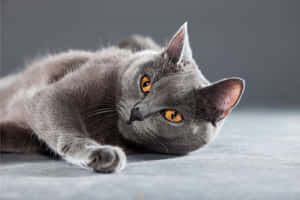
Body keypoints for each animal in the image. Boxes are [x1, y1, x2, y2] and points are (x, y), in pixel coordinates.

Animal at [0, 22, 244, 173]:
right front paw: (100, 152)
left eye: (172, 115)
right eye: (145, 83)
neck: (107, 129)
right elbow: (61, 121)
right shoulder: (55, 95)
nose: (137, 112)